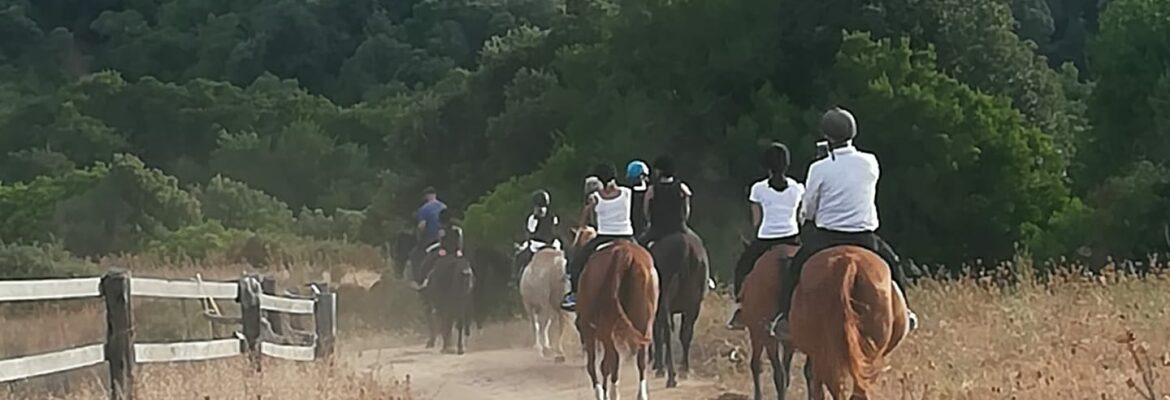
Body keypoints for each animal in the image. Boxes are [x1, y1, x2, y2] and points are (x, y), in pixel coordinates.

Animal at [573, 226, 664, 397]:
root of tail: (624, 252)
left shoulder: (588, 330)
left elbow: (594, 365)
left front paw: (601, 393)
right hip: (644, 320)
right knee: (641, 356)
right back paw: (641, 394)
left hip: (604, 327)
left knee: (612, 359)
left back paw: (613, 393)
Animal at [645, 229, 706, 388]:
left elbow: (658, 334)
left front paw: (659, 366)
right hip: (694, 304)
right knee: (686, 334)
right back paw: (684, 370)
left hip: (664, 302)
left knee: (667, 333)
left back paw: (670, 376)